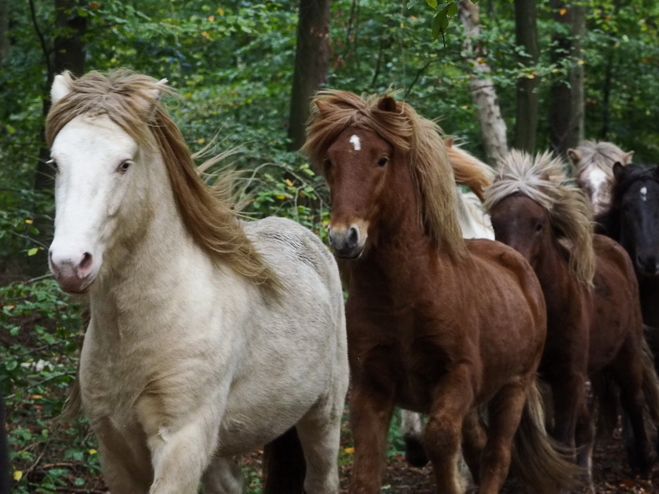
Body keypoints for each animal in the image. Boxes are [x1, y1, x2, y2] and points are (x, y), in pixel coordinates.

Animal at [46, 70, 350, 494]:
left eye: (124, 164)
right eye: (57, 163)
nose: (70, 264)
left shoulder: (181, 443)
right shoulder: (115, 450)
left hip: (323, 417)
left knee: (323, 478)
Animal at [304, 91, 576, 494]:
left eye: (381, 159)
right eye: (330, 160)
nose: (344, 238)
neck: (404, 298)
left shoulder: (457, 376)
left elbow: (441, 441)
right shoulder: (370, 386)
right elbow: (367, 471)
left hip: (514, 387)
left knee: (496, 456)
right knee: (478, 445)